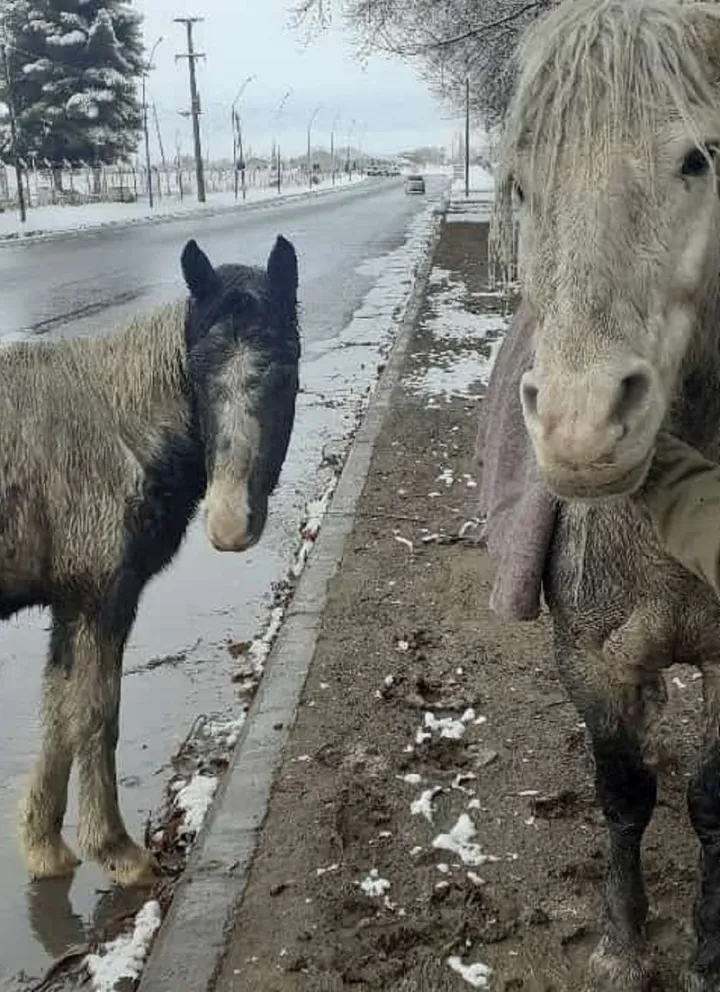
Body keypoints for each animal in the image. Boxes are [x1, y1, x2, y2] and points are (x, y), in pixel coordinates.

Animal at [0, 235, 300, 888]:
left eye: (286, 363)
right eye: (198, 370)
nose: (230, 522)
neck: (121, 435)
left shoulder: (73, 602)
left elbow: (57, 714)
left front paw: (44, 845)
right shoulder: (100, 596)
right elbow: (94, 714)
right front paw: (116, 849)